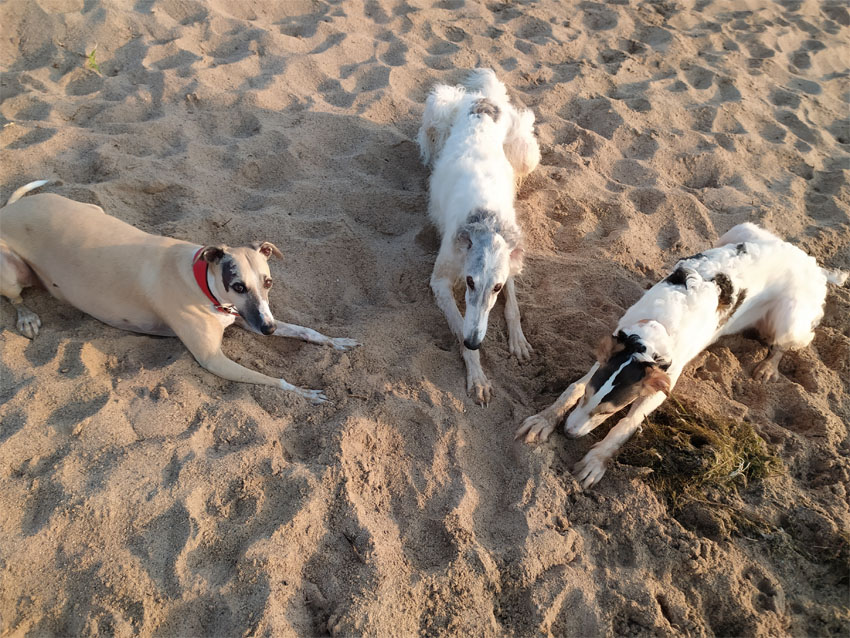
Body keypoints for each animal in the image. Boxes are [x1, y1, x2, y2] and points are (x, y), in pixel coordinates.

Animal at [0, 181, 359, 403]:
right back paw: (27, 318)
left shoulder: (247, 317)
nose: (268, 330)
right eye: (237, 285)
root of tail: (9, 210)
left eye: (268, 282)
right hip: (10, 270)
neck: (201, 282)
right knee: (14, 297)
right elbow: (275, 380)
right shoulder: (213, 359)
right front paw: (304, 393)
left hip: (92, 208)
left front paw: (337, 342)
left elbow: (307, 331)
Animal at [417, 68, 541, 404]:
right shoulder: (440, 280)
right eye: (470, 282)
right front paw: (478, 377)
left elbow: (512, 304)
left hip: (526, 150)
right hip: (437, 113)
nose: (475, 342)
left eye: (496, 287)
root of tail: (485, 99)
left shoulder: (509, 259)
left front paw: (518, 341)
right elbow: (460, 326)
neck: (486, 220)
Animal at [516, 223, 847, 487]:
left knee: (795, 341)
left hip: (790, 321)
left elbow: (626, 426)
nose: (569, 433)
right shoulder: (608, 358)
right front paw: (545, 419)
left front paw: (595, 461)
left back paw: (767, 366)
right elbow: (573, 387)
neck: (655, 330)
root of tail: (813, 264)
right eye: (588, 400)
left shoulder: (661, 386)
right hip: (740, 230)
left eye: (608, 411)